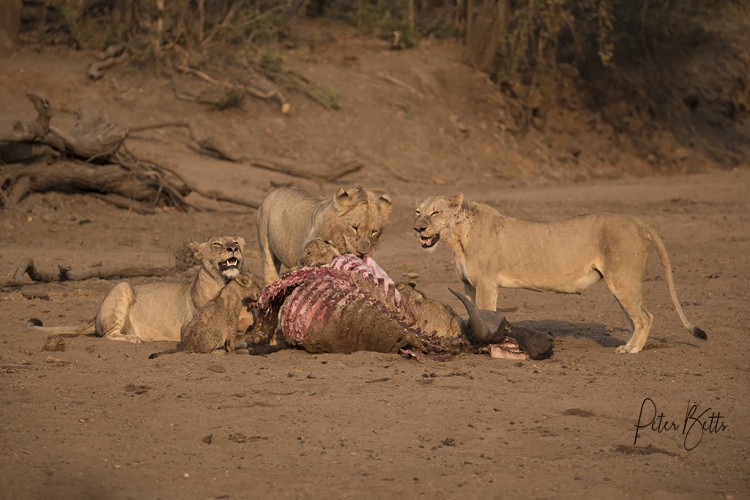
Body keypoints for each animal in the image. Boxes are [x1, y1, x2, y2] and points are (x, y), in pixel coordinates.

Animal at [414, 193, 708, 354]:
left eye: (436, 212)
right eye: (417, 211)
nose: (418, 228)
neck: (457, 239)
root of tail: (638, 221)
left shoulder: (487, 283)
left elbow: (485, 314)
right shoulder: (469, 285)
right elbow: (473, 315)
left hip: (623, 279)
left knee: (645, 317)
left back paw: (632, 349)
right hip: (621, 283)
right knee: (636, 318)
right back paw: (629, 343)